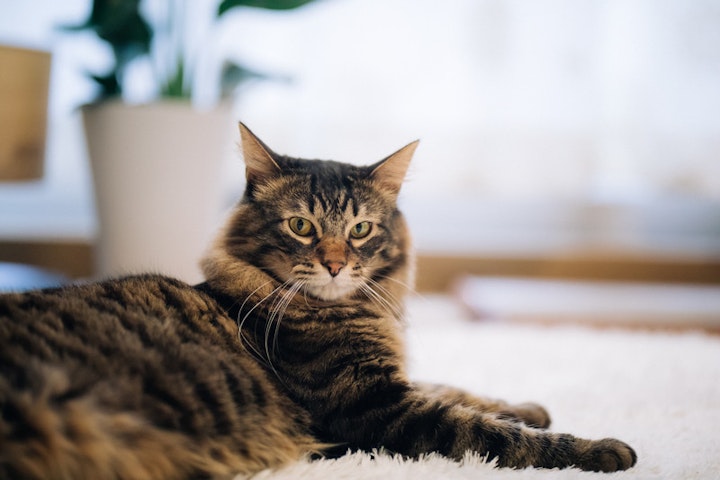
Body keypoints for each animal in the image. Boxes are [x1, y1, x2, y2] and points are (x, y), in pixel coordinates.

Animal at [0, 124, 636, 480]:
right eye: (302, 226)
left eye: (360, 230)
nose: (333, 263)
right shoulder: (373, 406)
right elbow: (494, 433)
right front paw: (604, 449)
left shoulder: (394, 380)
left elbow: (463, 391)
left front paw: (526, 405)